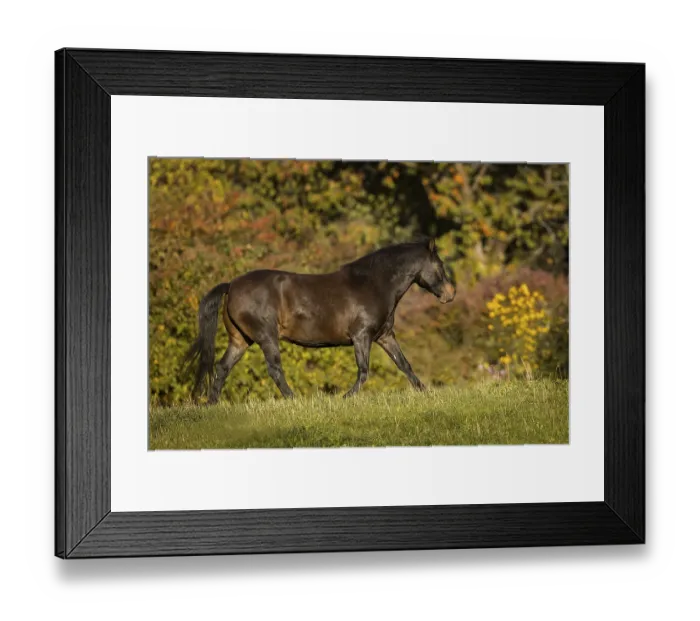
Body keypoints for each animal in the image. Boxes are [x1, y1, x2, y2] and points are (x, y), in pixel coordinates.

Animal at [183, 238, 456, 404]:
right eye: (440, 265)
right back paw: (294, 400)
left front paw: (425, 392)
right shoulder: (362, 336)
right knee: (274, 369)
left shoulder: (384, 336)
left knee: (222, 367)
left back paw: (211, 403)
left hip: (240, 340)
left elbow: (404, 365)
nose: (450, 294)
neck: (373, 284)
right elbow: (363, 371)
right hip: (266, 337)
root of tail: (231, 285)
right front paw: (345, 398)